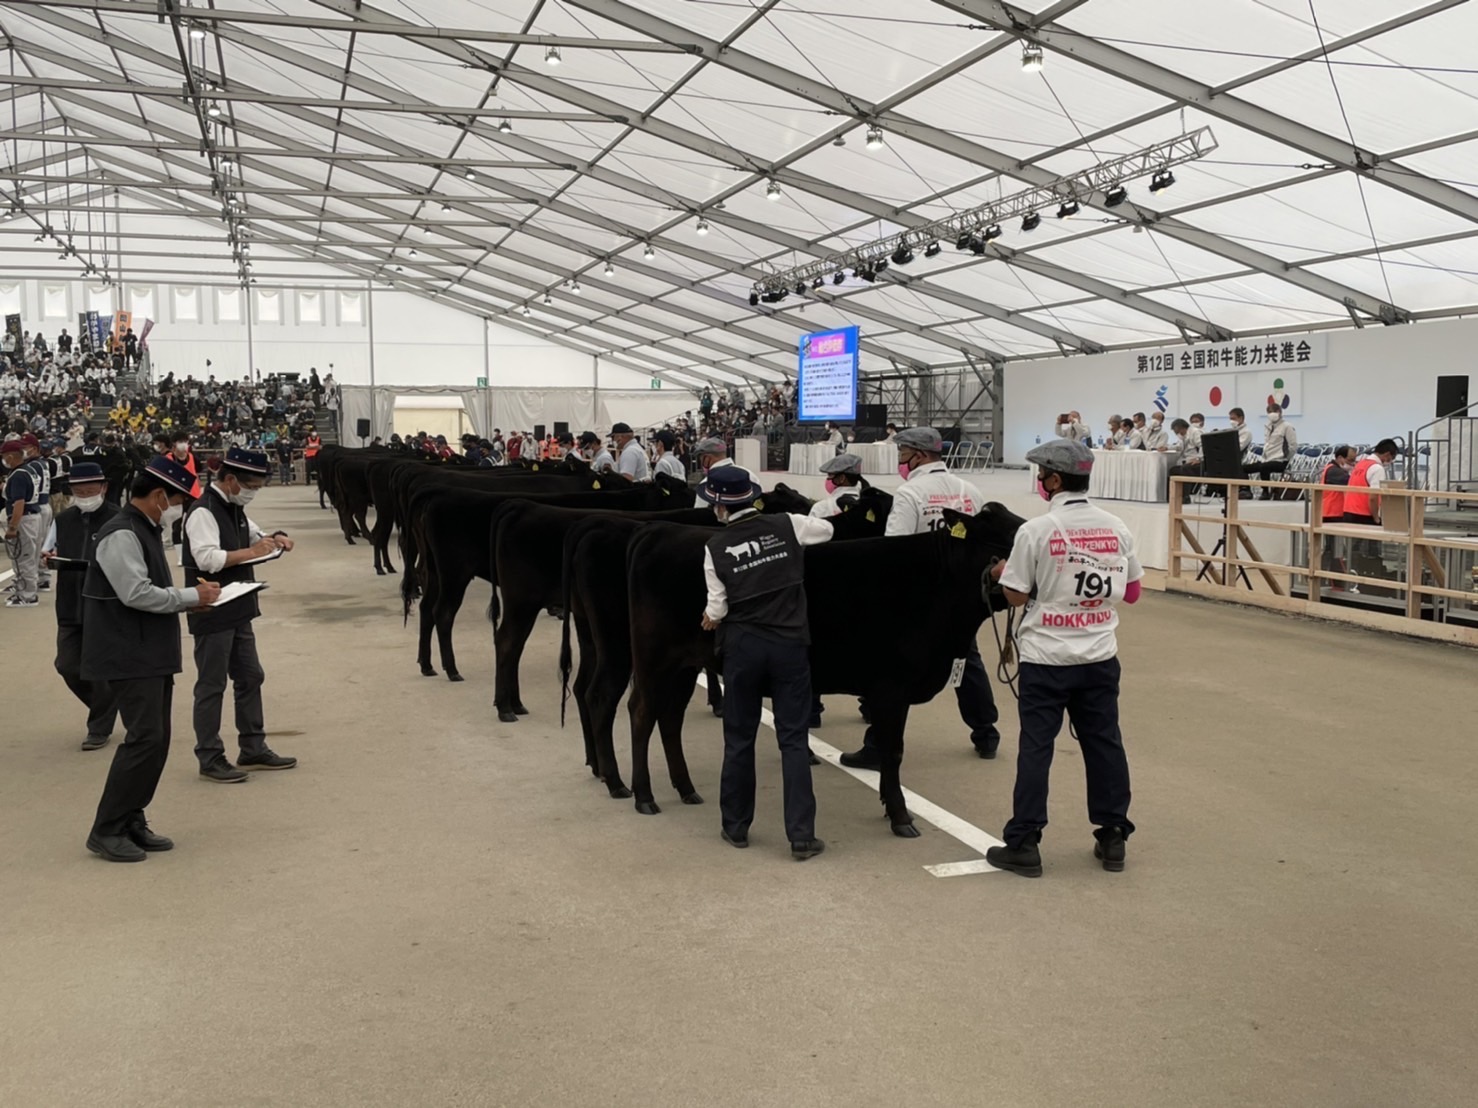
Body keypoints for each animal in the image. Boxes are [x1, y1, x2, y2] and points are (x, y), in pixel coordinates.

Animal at [620, 502, 1016, 833]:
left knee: (670, 717)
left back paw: (685, 788)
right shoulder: (891, 688)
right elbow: (892, 752)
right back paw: (643, 795)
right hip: (654, 658)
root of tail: (659, 530)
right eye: (1002, 539)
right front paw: (901, 816)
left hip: (684, 664)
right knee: (642, 712)